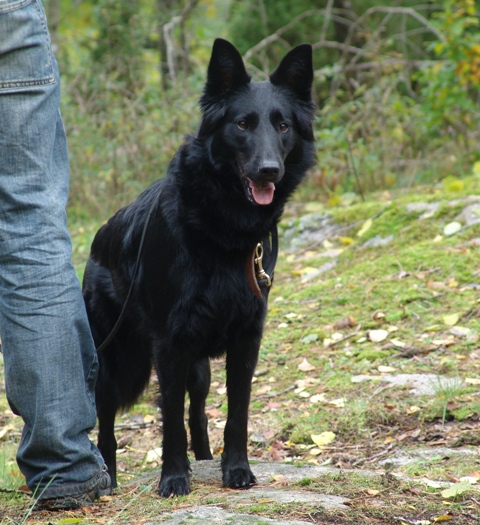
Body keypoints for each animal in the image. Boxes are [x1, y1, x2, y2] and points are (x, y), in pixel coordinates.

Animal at [82, 39, 316, 498]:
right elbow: (170, 418)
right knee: (107, 427)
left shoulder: (245, 340)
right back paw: (109, 479)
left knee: (200, 414)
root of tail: (100, 236)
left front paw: (236, 469)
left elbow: (236, 414)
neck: (221, 229)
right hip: (117, 363)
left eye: (283, 126)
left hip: (199, 367)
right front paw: (174, 477)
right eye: (242, 124)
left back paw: (206, 459)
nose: (270, 171)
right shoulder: (170, 344)